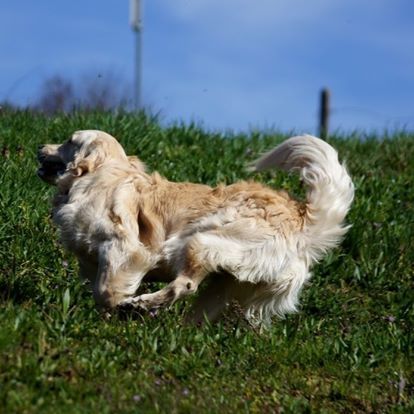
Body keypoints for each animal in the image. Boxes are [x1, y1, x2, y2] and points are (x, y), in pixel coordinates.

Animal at [38, 131, 352, 326]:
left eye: (69, 140)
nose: (40, 147)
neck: (104, 175)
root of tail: (301, 218)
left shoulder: (125, 249)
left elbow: (106, 291)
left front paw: (115, 312)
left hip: (199, 241)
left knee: (186, 284)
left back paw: (142, 305)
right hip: (226, 283)